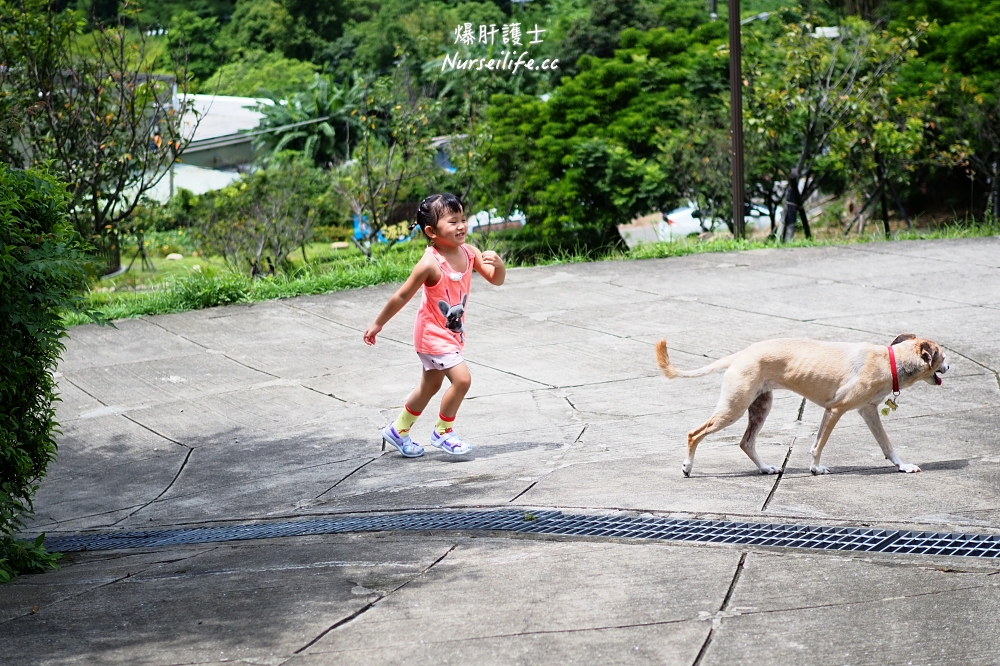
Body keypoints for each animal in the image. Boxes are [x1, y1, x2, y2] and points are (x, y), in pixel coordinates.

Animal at [652, 334, 948, 474]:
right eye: (943, 357)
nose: (949, 366)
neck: (891, 361)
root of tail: (741, 354)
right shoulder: (835, 409)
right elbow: (818, 445)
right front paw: (815, 468)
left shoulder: (868, 412)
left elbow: (887, 445)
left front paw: (903, 466)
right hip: (733, 408)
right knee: (694, 434)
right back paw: (688, 467)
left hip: (760, 408)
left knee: (746, 443)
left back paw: (764, 468)